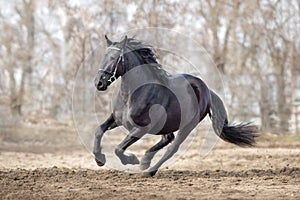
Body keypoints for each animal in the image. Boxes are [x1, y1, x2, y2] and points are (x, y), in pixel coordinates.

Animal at [94, 35, 258, 177]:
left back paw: (149, 170)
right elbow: (99, 130)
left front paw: (131, 159)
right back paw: (146, 161)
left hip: (187, 126)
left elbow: (118, 148)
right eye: (103, 56)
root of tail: (207, 90)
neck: (132, 95)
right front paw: (99, 159)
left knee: (172, 148)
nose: (99, 83)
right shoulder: (117, 119)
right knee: (168, 139)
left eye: (114, 58)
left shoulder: (142, 128)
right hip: (167, 124)